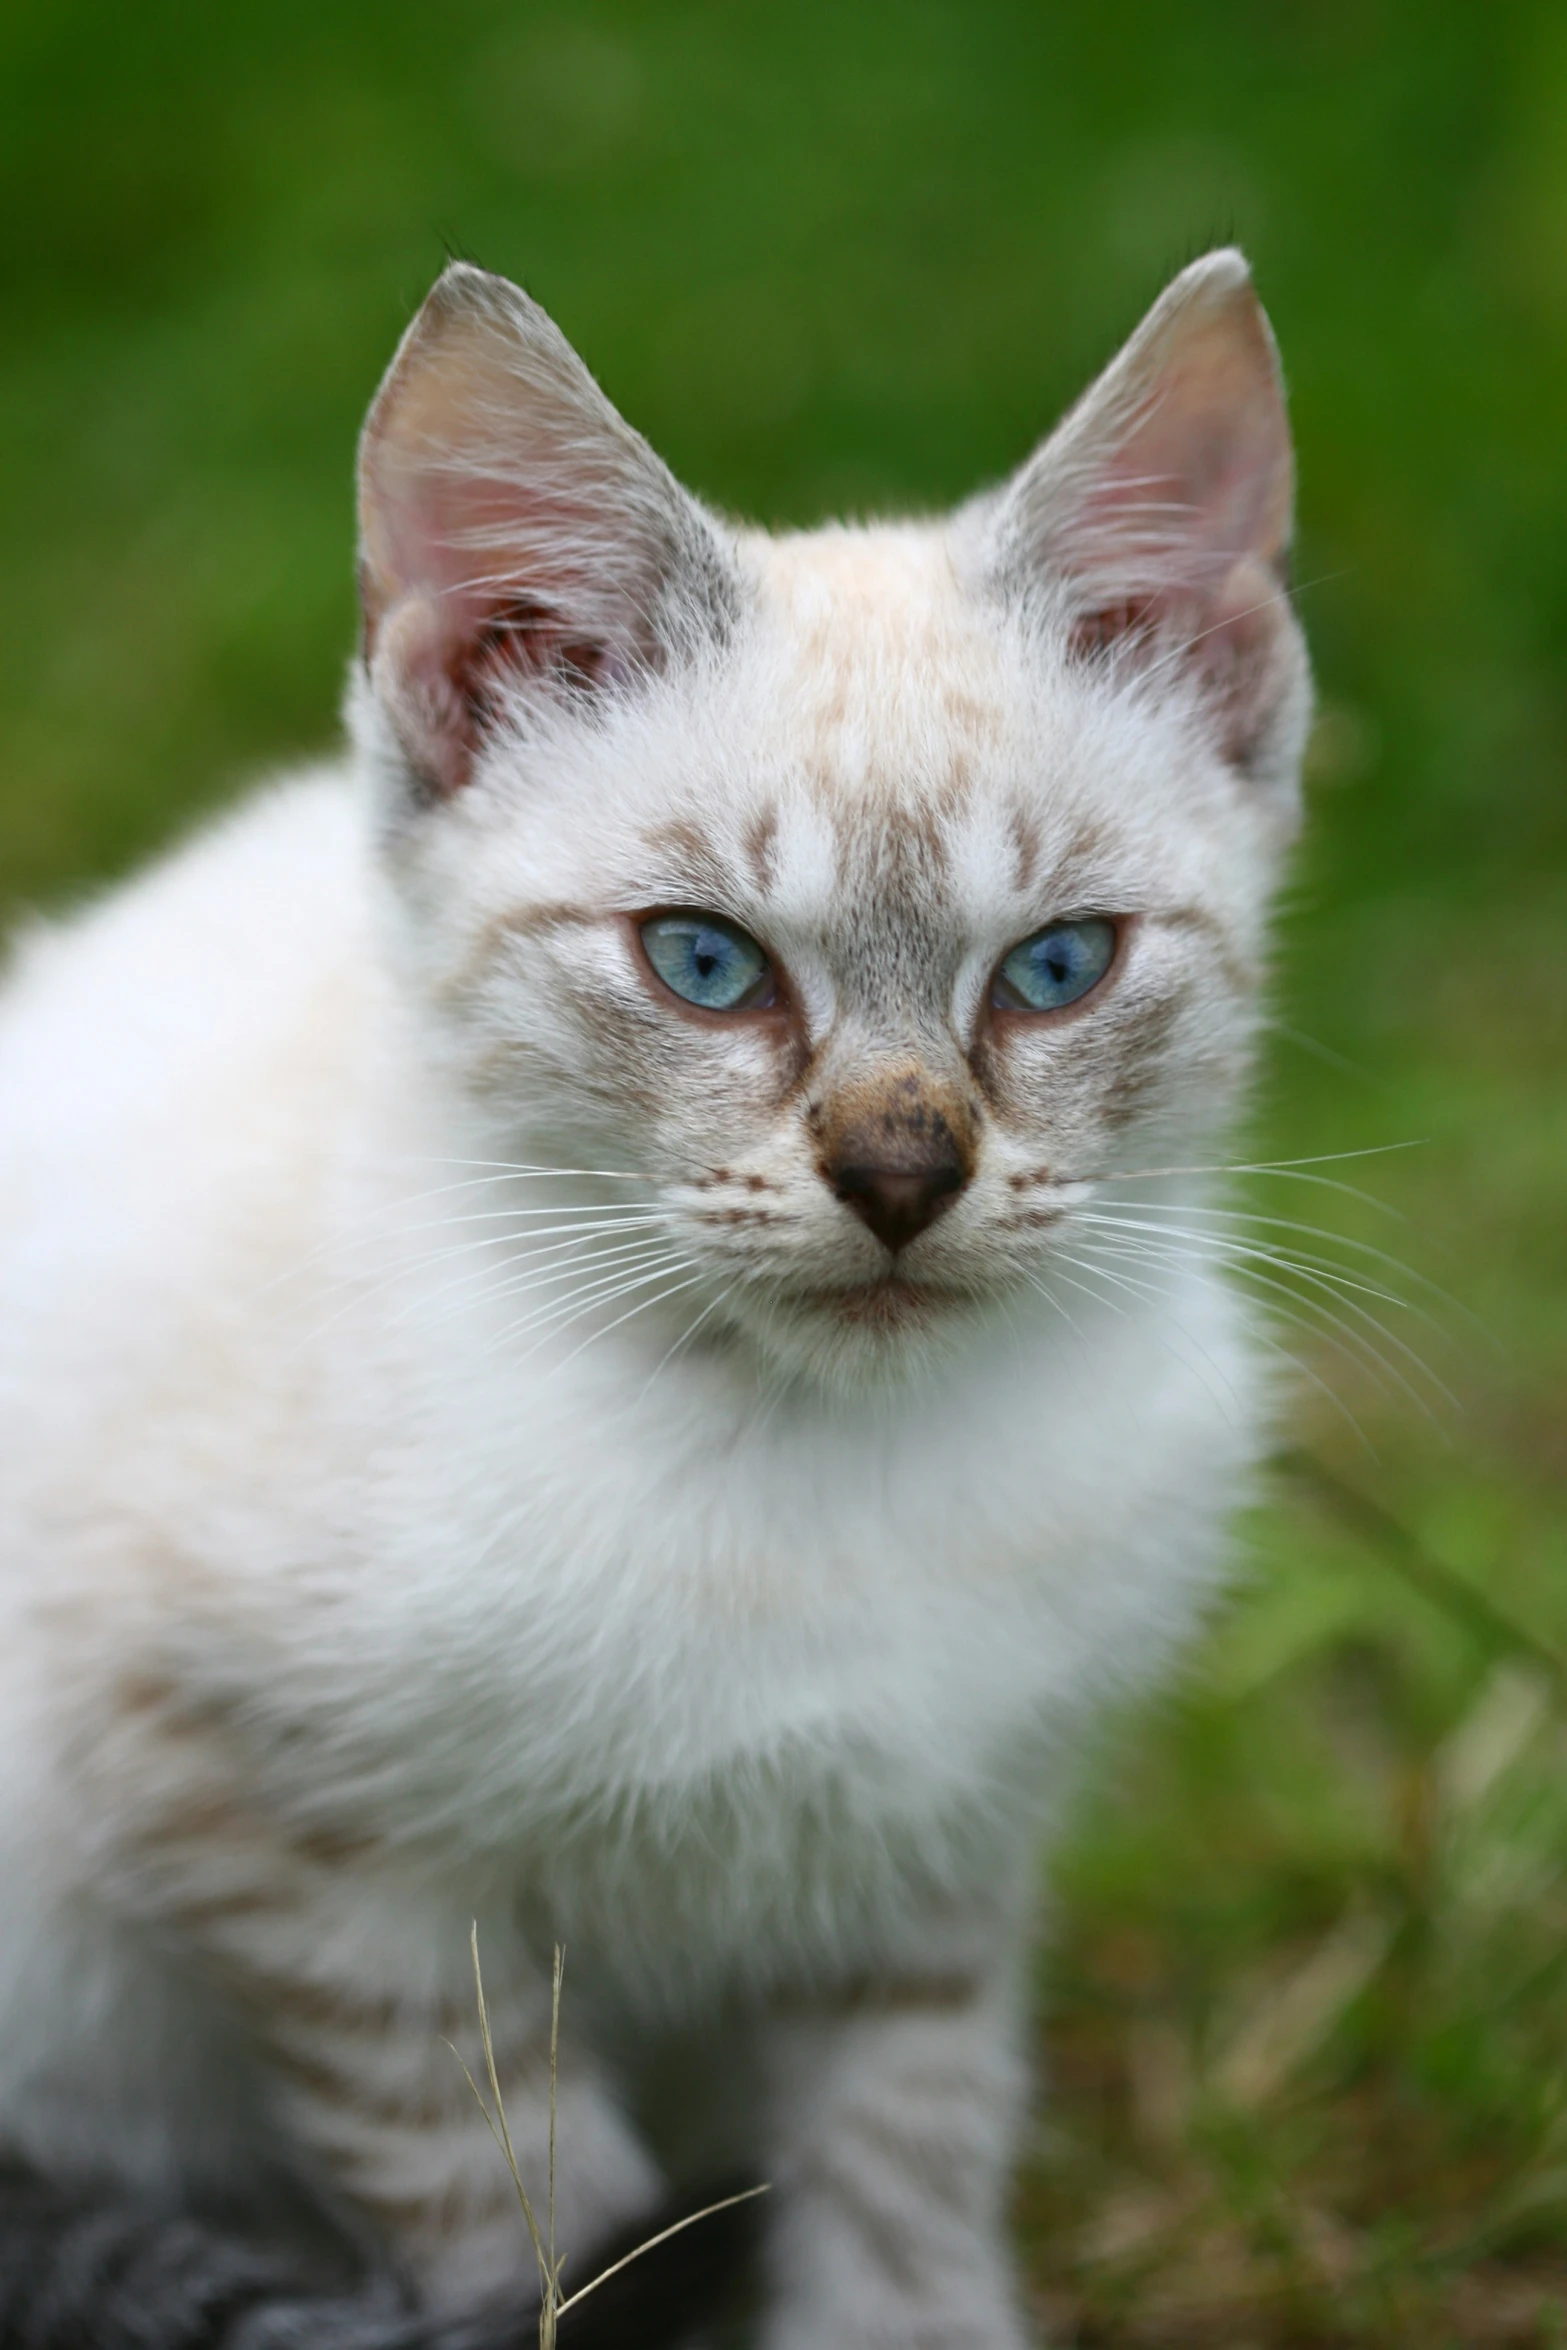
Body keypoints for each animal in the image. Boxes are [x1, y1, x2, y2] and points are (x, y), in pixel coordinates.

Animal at [0, 257, 1306, 2350]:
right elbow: (508, 2202)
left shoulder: (929, 1872)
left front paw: (902, 2320)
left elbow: (902, 2183)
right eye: (704, 963)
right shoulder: (288, 1853)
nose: (900, 1174)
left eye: (1055, 968)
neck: (819, 1479)